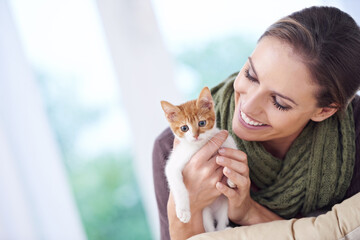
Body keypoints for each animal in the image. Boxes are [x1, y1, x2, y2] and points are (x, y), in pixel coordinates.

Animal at [160, 86, 236, 232]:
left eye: (202, 123)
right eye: (184, 128)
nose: (195, 135)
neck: (200, 146)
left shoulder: (223, 138)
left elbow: (232, 149)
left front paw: (232, 176)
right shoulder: (174, 162)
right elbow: (177, 183)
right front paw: (183, 211)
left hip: (224, 204)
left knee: (221, 221)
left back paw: (224, 229)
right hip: (204, 212)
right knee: (209, 228)